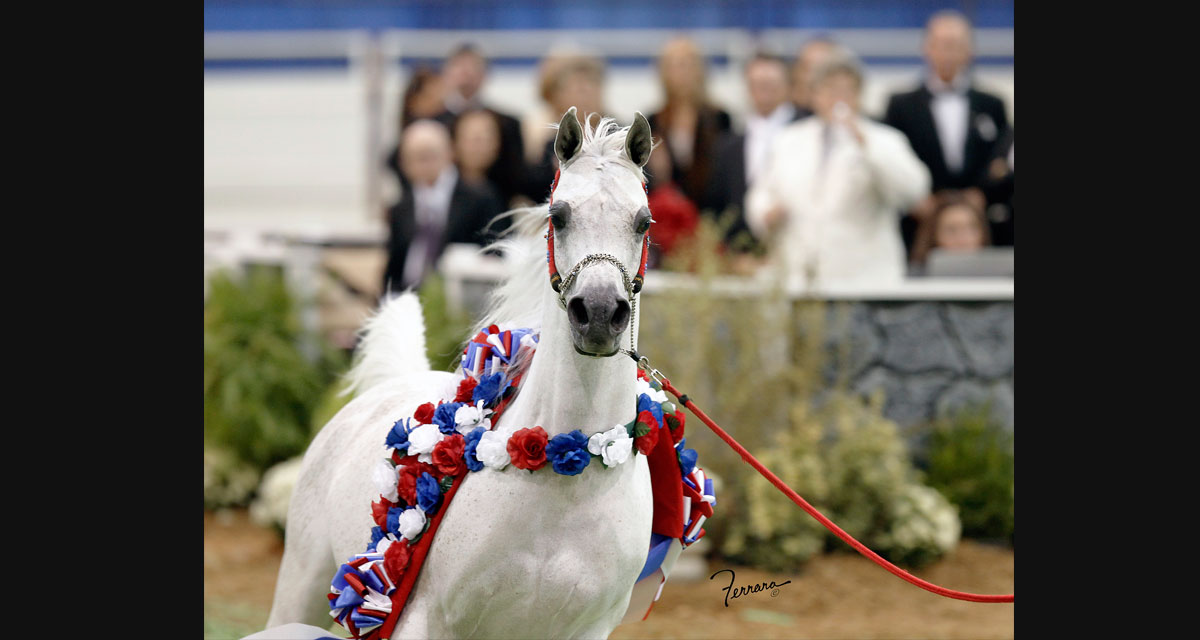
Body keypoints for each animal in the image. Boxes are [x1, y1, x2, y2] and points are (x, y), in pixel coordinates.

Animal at [260, 107, 667, 633]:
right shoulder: (425, 618)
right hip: (300, 584)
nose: (597, 312)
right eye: (558, 216)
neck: (567, 473)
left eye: (643, 221)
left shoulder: (589, 629)